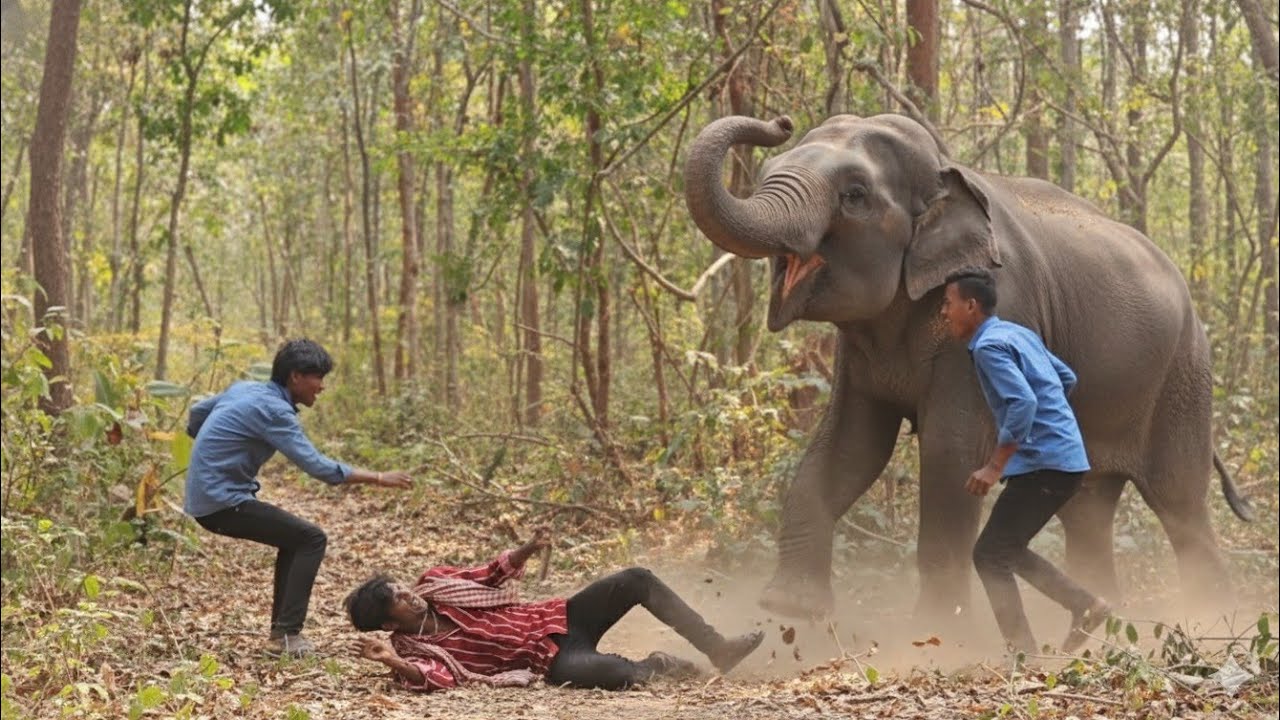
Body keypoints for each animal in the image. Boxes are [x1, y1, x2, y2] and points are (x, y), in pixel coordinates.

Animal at [682, 113, 1255, 621]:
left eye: (855, 195)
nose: (778, 122)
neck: (946, 171)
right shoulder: (858, 352)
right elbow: (848, 445)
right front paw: (791, 608)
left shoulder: (1004, 309)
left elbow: (950, 449)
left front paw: (938, 633)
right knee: (1088, 510)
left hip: (1183, 376)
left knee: (1181, 505)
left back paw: (1212, 618)